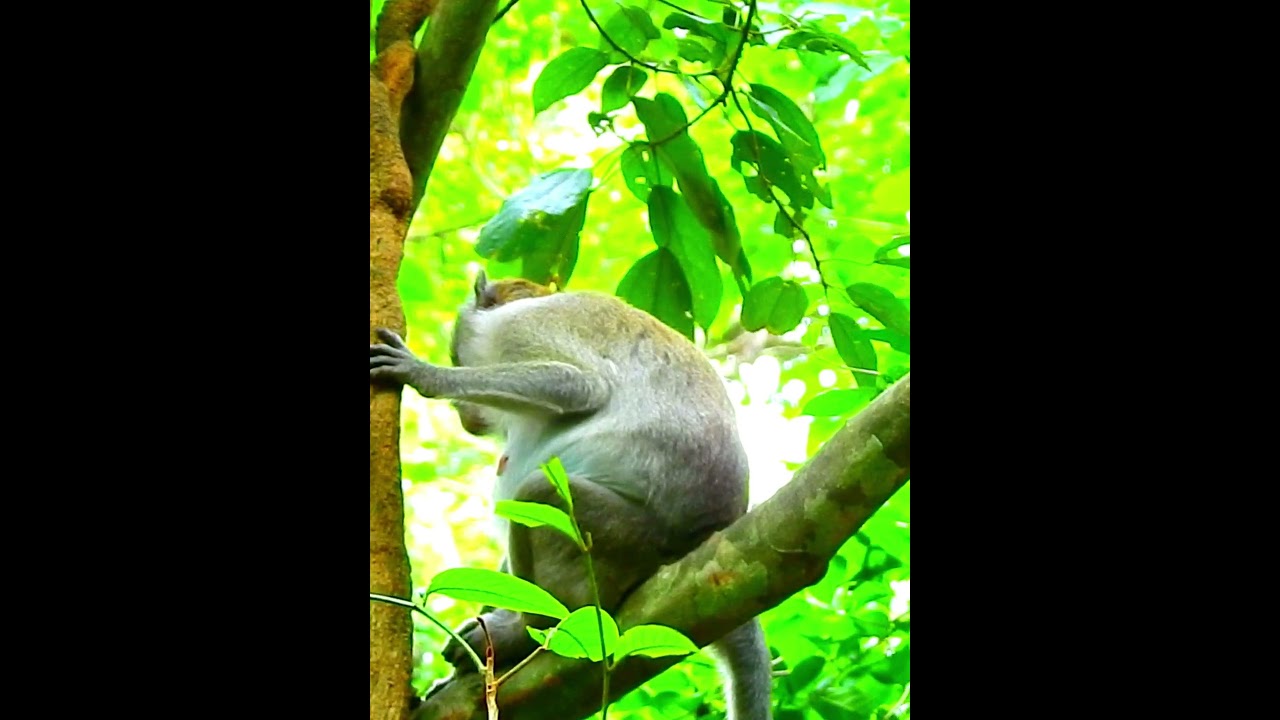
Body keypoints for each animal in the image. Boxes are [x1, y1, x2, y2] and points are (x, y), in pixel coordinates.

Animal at [369, 271, 773, 720]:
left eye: (456, 359)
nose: (463, 414)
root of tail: (706, 536)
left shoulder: (518, 328)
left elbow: (577, 386)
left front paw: (424, 374)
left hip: (626, 543)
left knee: (537, 492)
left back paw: (523, 634)